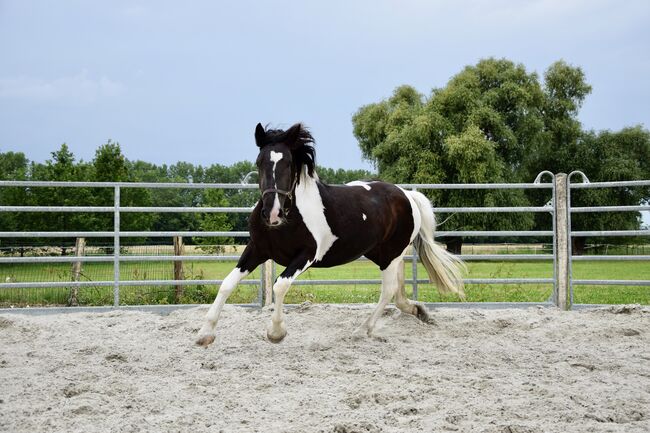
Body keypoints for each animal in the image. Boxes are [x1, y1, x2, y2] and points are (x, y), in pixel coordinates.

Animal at [195, 123, 464, 346]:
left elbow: (280, 285)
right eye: (260, 161)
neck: (289, 218)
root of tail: (407, 194)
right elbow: (227, 284)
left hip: (390, 255)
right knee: (397, 290)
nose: (272, 213)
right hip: (385, 254)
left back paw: (361, 330)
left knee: (387, 290)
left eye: (288, 163)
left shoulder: (306, 255)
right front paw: (205, 334)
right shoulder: (258, 250)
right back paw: (417, 311)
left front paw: (276, 332)